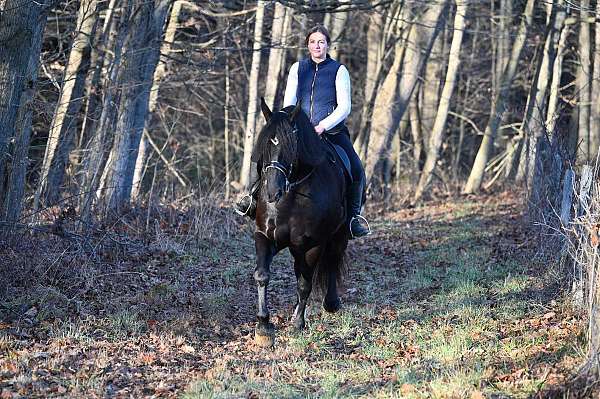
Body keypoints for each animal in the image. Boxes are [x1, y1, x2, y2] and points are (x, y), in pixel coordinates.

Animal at [251, 99, 350, 346]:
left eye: (291, 147)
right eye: (265, 146)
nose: (272, 192)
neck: (291, 196)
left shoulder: (313, 244)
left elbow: (306, 284)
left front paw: (297, 325)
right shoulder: (265, 236)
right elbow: (262, 275)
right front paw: (264, 327)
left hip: (338, 235)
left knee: (331, 261)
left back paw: (330, 303)